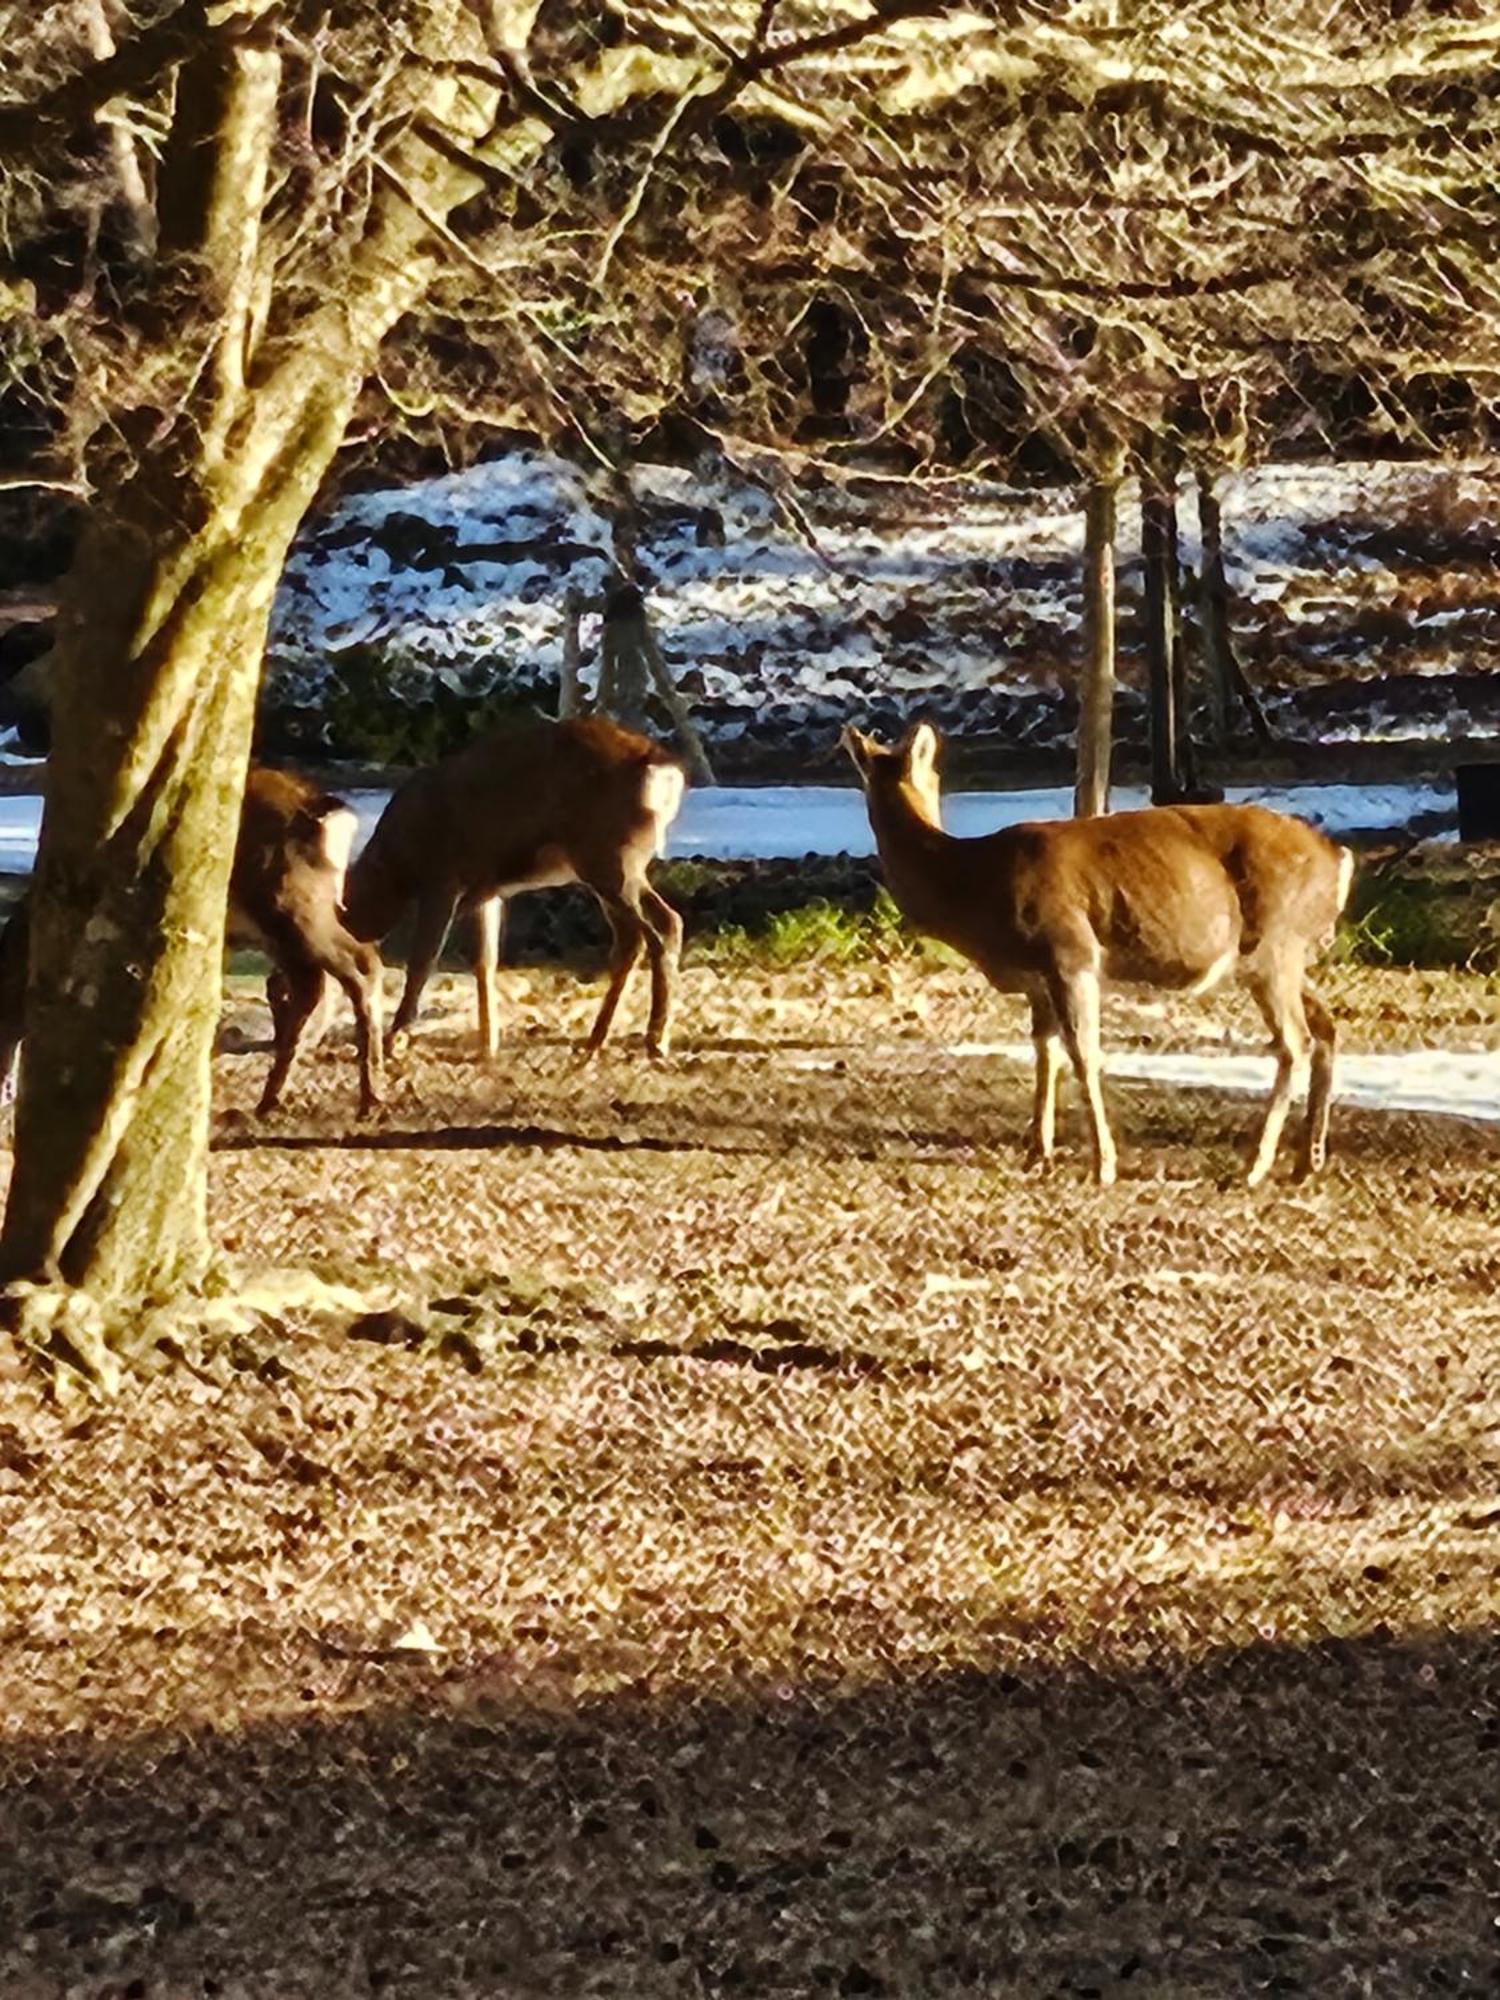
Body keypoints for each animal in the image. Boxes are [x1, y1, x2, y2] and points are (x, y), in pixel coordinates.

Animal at [0, 764, 384, 1120]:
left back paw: (366, 1099)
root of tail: (328, 815)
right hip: (289, 921)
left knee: (356, 968)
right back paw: (279, 1098)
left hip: (291, 904)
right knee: (324, 981)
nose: (5, 1093)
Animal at [340, 716, 688, 1064]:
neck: (396, 864)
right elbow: (485, 961)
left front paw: (395, 1038)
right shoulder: (487, 889)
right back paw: (598, 1040)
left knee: (657, 929)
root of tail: (663, 769)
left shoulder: (441, 879)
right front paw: (488, 1043)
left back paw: (654, 1039)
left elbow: (423, 960)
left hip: (610, 856)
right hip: (614, 865)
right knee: (647, 933)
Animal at [848, 724, 1360, 1176]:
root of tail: (1339, 858)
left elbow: (1084, 1053)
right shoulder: (1037, 980)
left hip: (1277, 942)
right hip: (1284, 955)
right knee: (1326, 1028)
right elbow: (1046, 1052)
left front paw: (1103, 1164)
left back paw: (1254, 1166)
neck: (974, 884)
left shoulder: (1069, 951)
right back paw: (1306, 1161)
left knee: (1295, 1042)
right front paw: (1038, 1155)